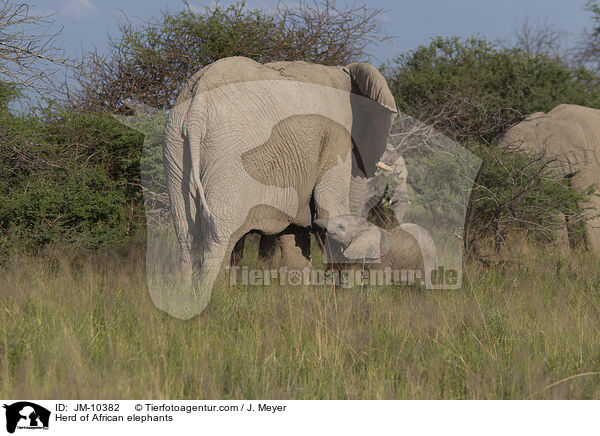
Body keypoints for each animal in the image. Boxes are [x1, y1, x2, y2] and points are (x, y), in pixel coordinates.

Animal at [164, 56, 398, 316]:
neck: (343, 72)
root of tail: (196, 110)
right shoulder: (335, 137)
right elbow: (329, 208)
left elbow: (297, 231)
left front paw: (300, 300)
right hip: (229, 155)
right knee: (220, 233)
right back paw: (211, 301)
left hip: (176, 147)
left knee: (187, 233)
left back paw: (184, 299)